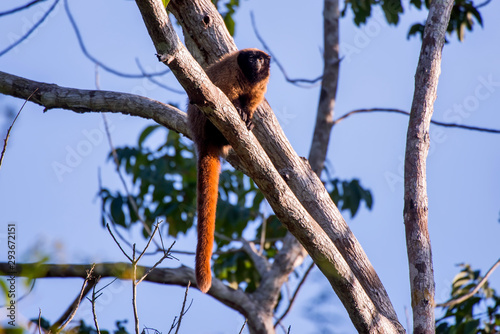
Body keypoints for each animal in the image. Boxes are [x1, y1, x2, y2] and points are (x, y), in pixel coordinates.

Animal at [187, 48, 270, 294]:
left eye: (260, 59)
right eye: (251, 58)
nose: (256, 62)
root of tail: (201, 138)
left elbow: (251, 102)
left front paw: (248, 116)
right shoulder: (231, 71)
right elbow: (223, 94)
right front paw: (239, 110)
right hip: (203, 123)